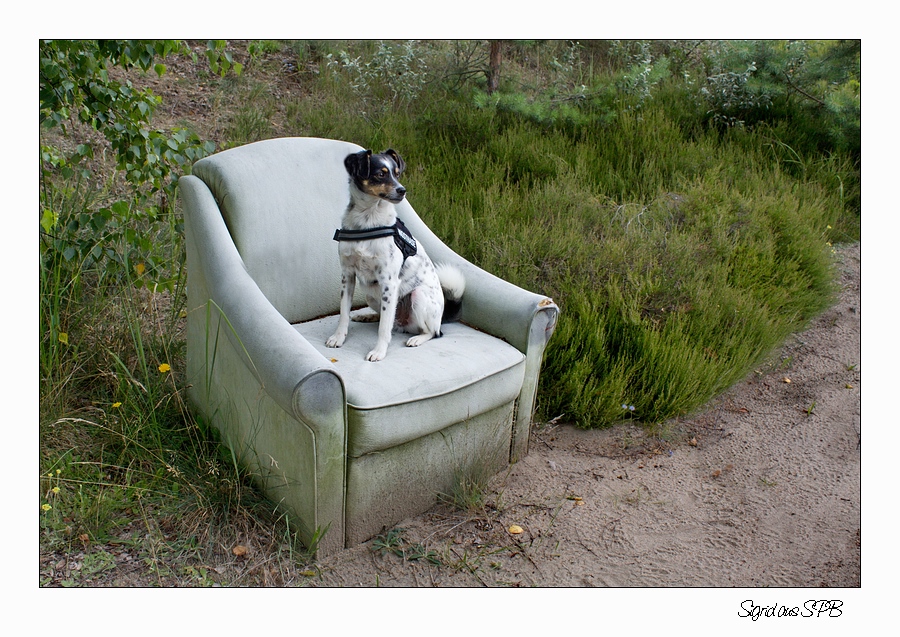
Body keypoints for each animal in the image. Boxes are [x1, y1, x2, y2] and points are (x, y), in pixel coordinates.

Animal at [326, 146, 464, 360]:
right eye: (380, 174)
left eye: (397, 174)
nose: (402, 190)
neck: (368, 220)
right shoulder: (347, 276)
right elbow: (343, 314)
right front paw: (338, 337)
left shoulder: (389, 282)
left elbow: (384, 328)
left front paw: (379, 351)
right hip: (372, 295)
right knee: (385, 318)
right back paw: (367, 315)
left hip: (418, 296)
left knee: (433, 332)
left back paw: (417, 339)